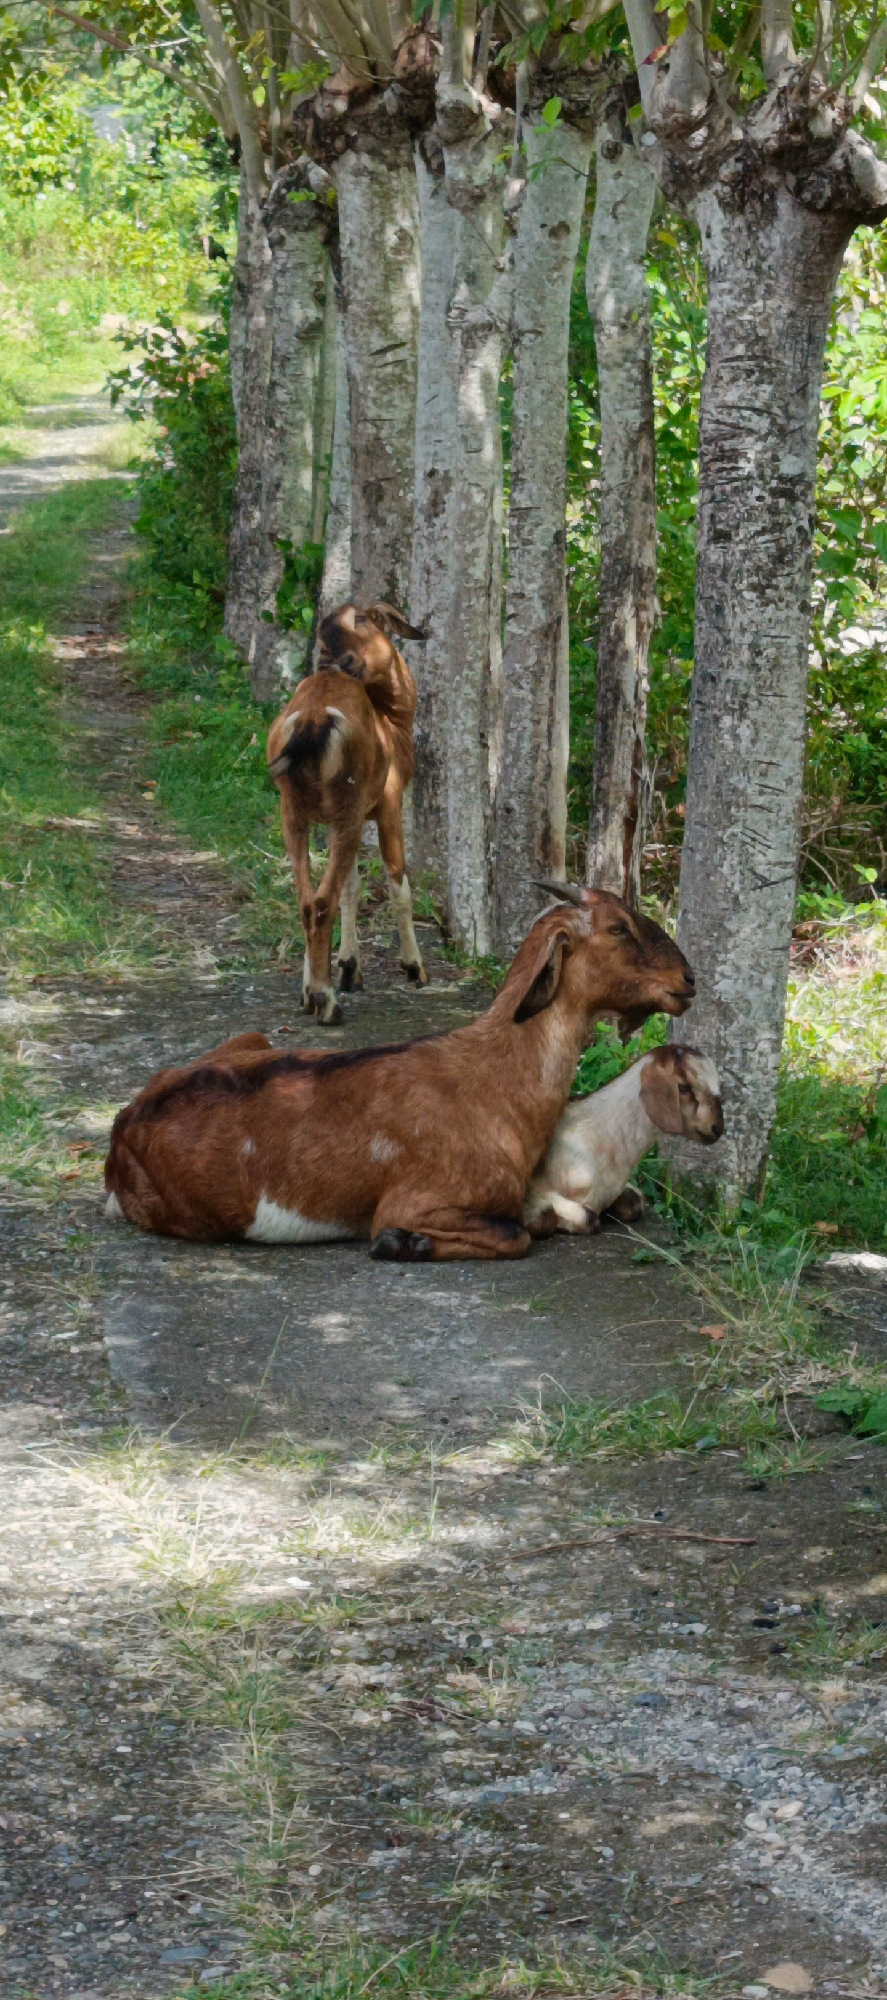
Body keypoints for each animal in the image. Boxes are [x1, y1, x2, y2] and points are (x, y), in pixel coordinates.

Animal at [104, 884, 695, 1262]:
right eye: (618, 928)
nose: (686, 979)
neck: (498, 1081)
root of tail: (122, 1127)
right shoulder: (416, 1200)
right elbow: (516, 1235)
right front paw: (402, 1243)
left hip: (252, 1039)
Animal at [266, 601, 428, 1026]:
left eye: (359, 621)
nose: (336, 661)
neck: (392, 722)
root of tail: (312, 720)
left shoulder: (335, 819)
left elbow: (350, 888)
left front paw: (349, 969)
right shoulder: (387, 802)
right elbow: (398, 881)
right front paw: (414, 968)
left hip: (295, 811)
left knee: (308, 898)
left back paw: (312, 993)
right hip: (347, 807)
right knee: (322, 901)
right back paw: (326, 1001)